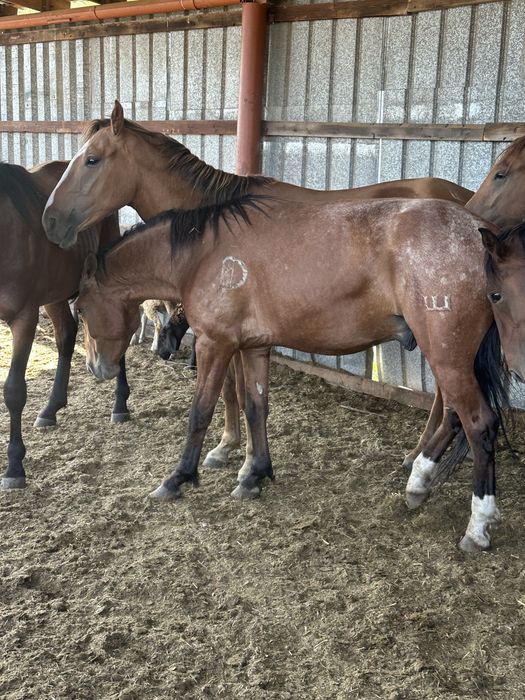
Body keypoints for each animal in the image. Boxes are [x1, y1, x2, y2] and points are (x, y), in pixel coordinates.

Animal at [0, 161, 130, 490]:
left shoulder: (24, 317)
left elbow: (14, 391)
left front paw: (14, 467)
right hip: (55, 294)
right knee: (66, 336)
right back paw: (51, 408)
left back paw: (120, 405)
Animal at [41, 100, 474, 475]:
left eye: (92, 159)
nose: (50, 220)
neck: (216, 221)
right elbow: (241, 392)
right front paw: (237, 450)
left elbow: (231, 389)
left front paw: (227, 448)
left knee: (447, 393)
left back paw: (420, 455)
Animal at [74, 194, 508, 553]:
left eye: (80, 308)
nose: (96, 368)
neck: (202, 254)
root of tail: (477, 233)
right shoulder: (254, 347)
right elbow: (255, 408)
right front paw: (255, 475)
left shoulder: (214, 344)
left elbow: (200, 413)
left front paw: (178, 478)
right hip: (451, 359)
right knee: (453, 416)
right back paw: (419, 482)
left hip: (447, 356)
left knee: (479, 423)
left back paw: (477, 526)